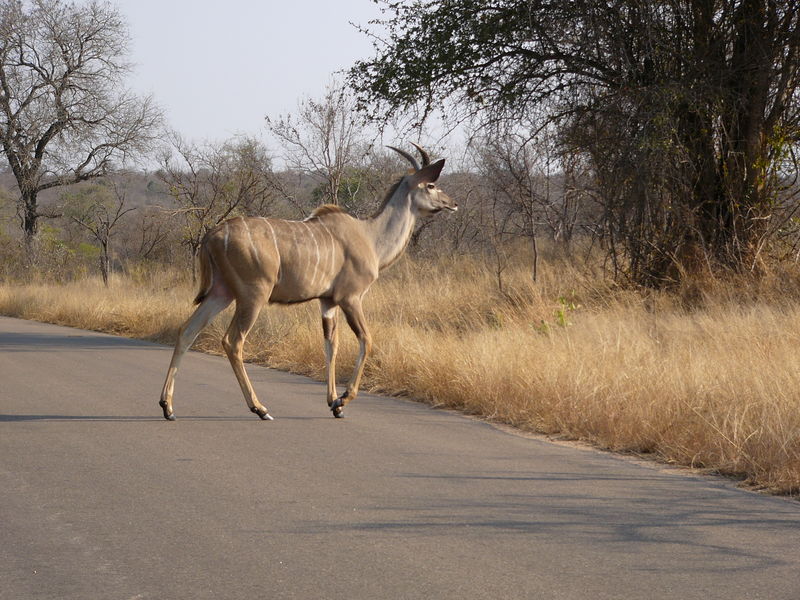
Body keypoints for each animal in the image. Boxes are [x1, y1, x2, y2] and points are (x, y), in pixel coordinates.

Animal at [159, 143, 456, 420]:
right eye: (431, 185)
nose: (452, 203)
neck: (370, 237)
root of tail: (212, 235)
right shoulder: (350, 298)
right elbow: (366, 339)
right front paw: (343, 399)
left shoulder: (327, 302)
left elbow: (331, 345)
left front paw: (334, 404)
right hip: (253, 295)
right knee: (233, 341)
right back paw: (259, 408)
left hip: (222, 293)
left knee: (187, 330)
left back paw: (168, 406)